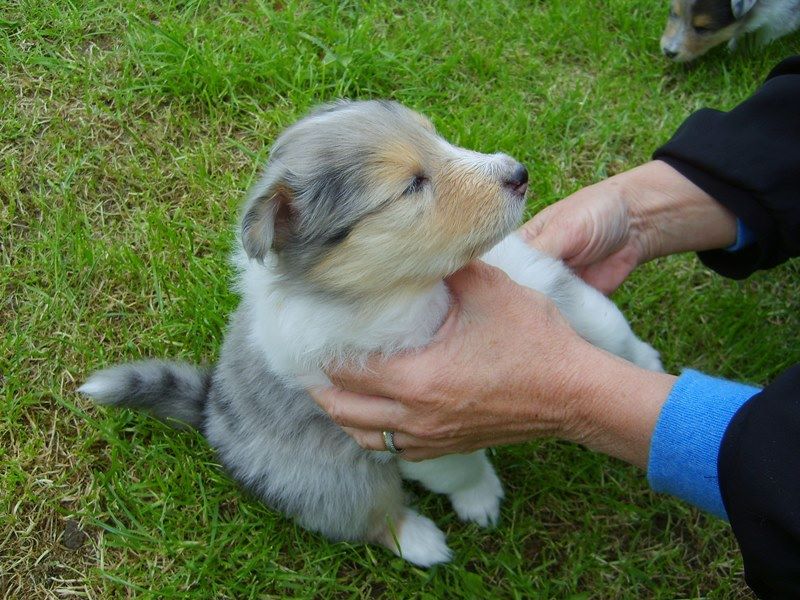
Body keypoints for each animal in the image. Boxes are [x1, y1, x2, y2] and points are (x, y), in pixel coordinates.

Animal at [81, 99, 664, 568]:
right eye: (411, 186)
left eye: (438, 138)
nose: (519, 173)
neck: (415, 288)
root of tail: (207, 407)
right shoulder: (418, 424)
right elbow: (461, 466)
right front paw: (481, 500)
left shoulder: (538, 276)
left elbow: (603, 323)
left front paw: (649, 366)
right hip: (327, 475)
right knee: (366, 516)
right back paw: (423, 542)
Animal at [660, 0, 800, 61]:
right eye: (674, 13)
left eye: (703, 28)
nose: (668, 52)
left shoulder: (780, 16)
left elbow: (763, 34)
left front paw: (734, 52)